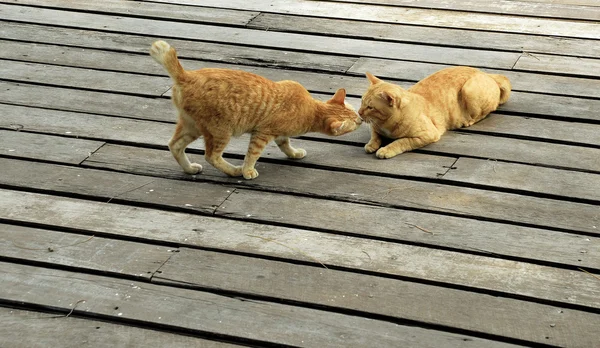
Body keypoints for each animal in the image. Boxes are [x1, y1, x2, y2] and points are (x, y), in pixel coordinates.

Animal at [149, 40, 360, 179]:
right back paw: (234, 171)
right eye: (355, 122)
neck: (311, 108)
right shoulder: (262, 133)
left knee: (174, 145)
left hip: (192, 126)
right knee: (211, 156)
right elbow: (252, 154)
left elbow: (285, 144)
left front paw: (294, 153)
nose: (360, 119)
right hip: (220, 131)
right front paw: (247, 170)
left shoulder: (279, 133)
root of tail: (186, 76)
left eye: (356, 115)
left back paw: (190, 169)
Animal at [356, 67, 510, 159]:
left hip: (469, 90)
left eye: (370, 107)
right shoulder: (375, 128)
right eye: (362, 101)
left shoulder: (427, 135)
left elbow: (401, 142)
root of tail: (488, 74)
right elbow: (375, 136)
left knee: (484, 113)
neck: (385, 124)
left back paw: (468, 121)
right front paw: (371, 145)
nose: (359, 112)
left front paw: (385, 150)